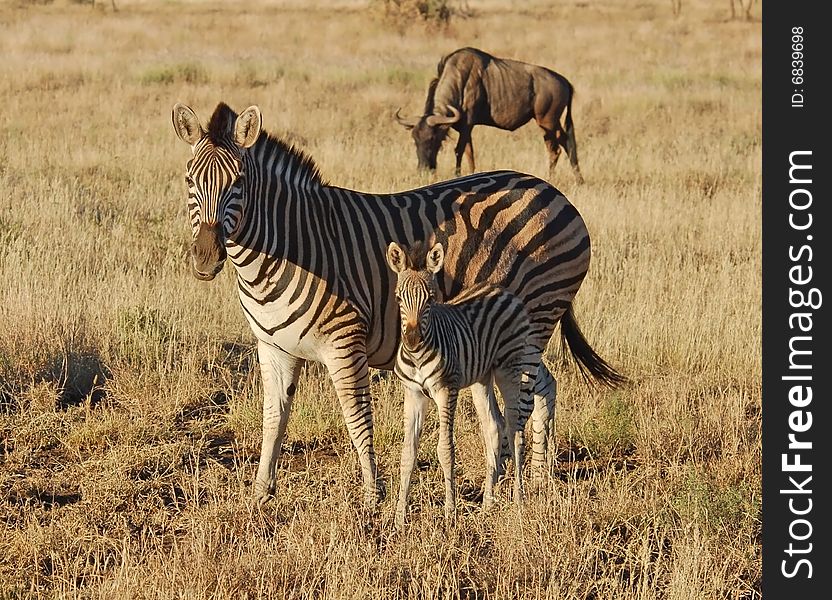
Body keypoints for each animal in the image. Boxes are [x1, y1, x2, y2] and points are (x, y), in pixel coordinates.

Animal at [386, 239, 536, 524]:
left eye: (431, 300)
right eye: (398, 298)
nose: (412, 341)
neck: (418, 356)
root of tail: (502, 290)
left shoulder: (446, 390)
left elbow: (445, 450)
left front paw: (450, 512)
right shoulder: (413, 393)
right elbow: (407, 453)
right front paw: (399, 518)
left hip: (509, 368)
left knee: (515, 429)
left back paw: (519, 500)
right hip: (482, 378)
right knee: (494, 426)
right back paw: (488, 502)